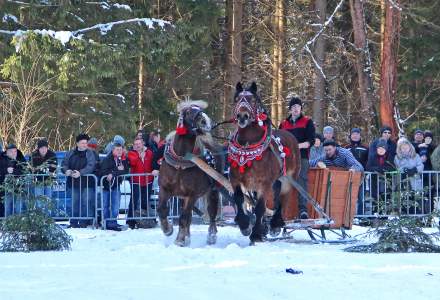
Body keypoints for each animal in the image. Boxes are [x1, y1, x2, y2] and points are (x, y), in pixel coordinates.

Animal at [157, 101, 223, 246]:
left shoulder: (192, 194)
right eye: (187, 112)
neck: (181, 161)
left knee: (212, 213)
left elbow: (184, 217)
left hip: (213, 190)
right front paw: (168, 229)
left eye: (201, 110)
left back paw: (211, 236)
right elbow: (162, 209)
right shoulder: (164, 189)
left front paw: (180, 240)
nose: (205, 122)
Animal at [227, 82, 302, 244]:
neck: (248, 144)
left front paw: (255, 235)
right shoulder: (235, 179)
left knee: (283, 198)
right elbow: (239, 199)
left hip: (289, 179)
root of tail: (290, 135)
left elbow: (260, 207)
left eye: (253, 100)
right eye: (236, 99)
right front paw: (244, 225)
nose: (242, 116)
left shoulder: (264, 183)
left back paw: (275, 224)